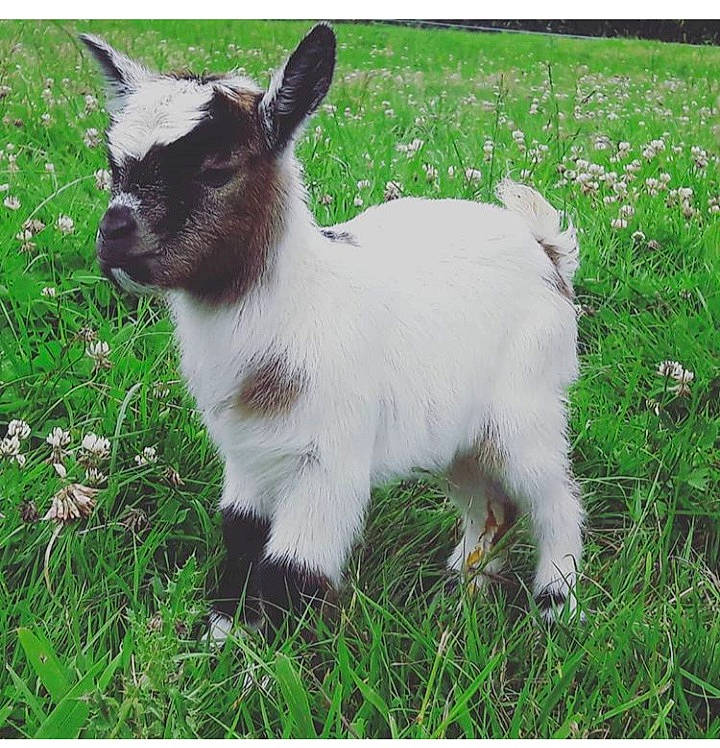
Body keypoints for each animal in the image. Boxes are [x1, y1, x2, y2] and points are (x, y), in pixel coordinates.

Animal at [81, 23, 583, 641]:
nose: (113, 233)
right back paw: (461, 593)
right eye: (114, 165)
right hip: (458, 433)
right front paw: (221, 635)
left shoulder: (329, 458)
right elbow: (240, 535)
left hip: (525, 406)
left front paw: (259, 660)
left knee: (554, 497)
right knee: (490, 504)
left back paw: (557, 605)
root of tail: (546, 249)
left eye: (217, 168)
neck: (298, 307)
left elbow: (290, 570)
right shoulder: (248, 456)